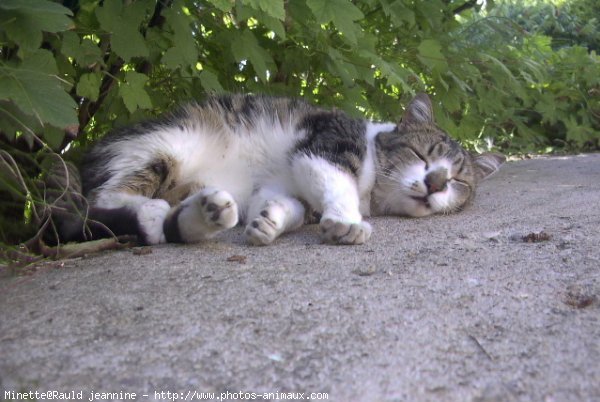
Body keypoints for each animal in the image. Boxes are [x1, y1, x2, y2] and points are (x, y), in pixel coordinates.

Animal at [52, 93, 506, 247]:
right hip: (162, 145)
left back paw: (206, 214)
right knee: (102, 202)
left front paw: (268, 222)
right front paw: (347, 222)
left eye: (458, 181)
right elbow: (336, 182)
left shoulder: (280, 187)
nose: (436, 181)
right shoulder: (325, 145)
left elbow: (285, 206)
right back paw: (149, 212)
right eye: (423, 154)